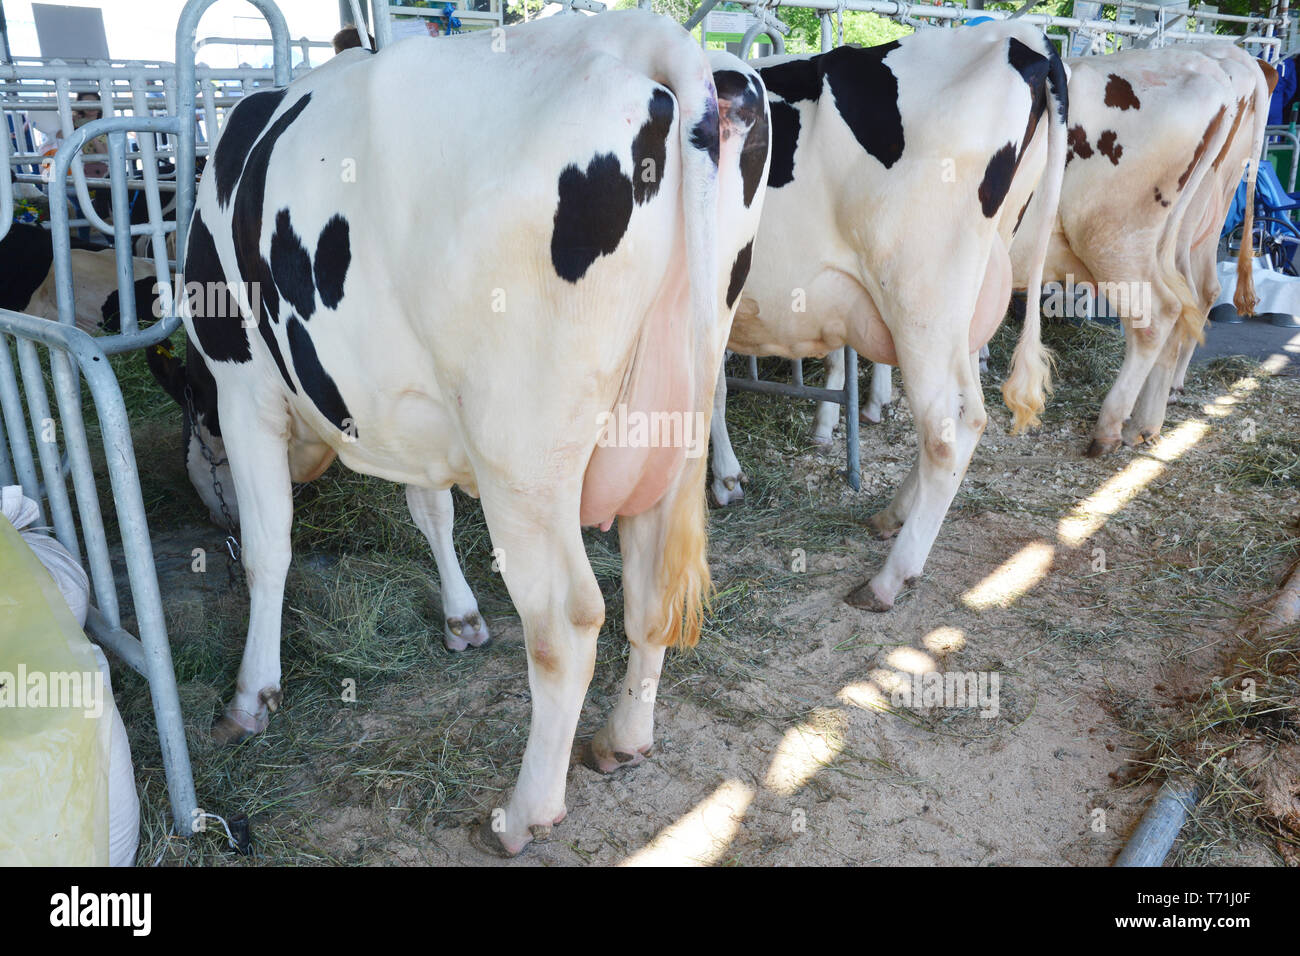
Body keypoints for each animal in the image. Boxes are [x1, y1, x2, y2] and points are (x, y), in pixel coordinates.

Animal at [169, 9, 764, 858]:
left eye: (199, 425)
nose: (205, 506)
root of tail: (645, 35)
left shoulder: (244, 385)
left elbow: (268, 548)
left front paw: (252, 695)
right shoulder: (408, 404)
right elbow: (432, 510)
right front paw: (461, 616)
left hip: (523, 458)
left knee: (568, 624)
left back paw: (522, 813)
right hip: (671, 420)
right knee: (650, 594)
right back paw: (622, 742)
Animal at [712, 22, 1066, 613]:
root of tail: (1020, 40)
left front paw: (722, 480)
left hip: (920, 297)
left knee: (951, 425)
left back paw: (889, 577)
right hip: (965, 299)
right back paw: (893, 515)